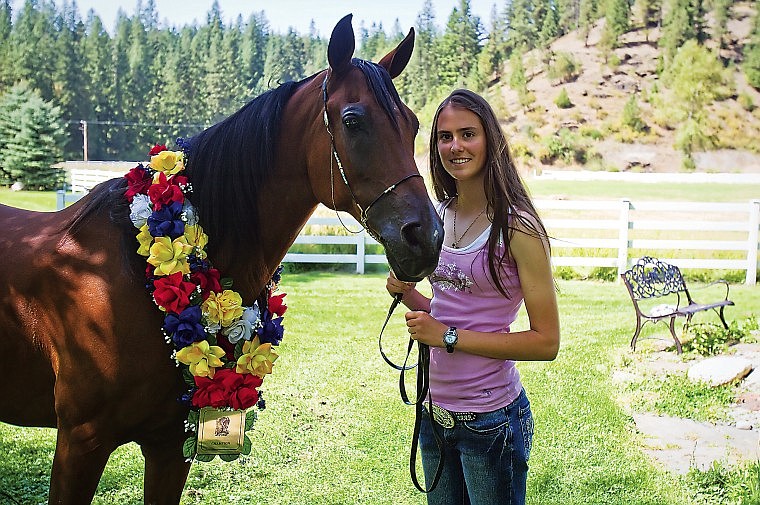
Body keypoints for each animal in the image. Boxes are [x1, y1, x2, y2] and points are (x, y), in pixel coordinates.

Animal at [0, 13, 446, 502]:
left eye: (413, 125)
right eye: (352, 120)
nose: (426, 237)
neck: (128, 275)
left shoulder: (169, 446)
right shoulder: (80, 443)